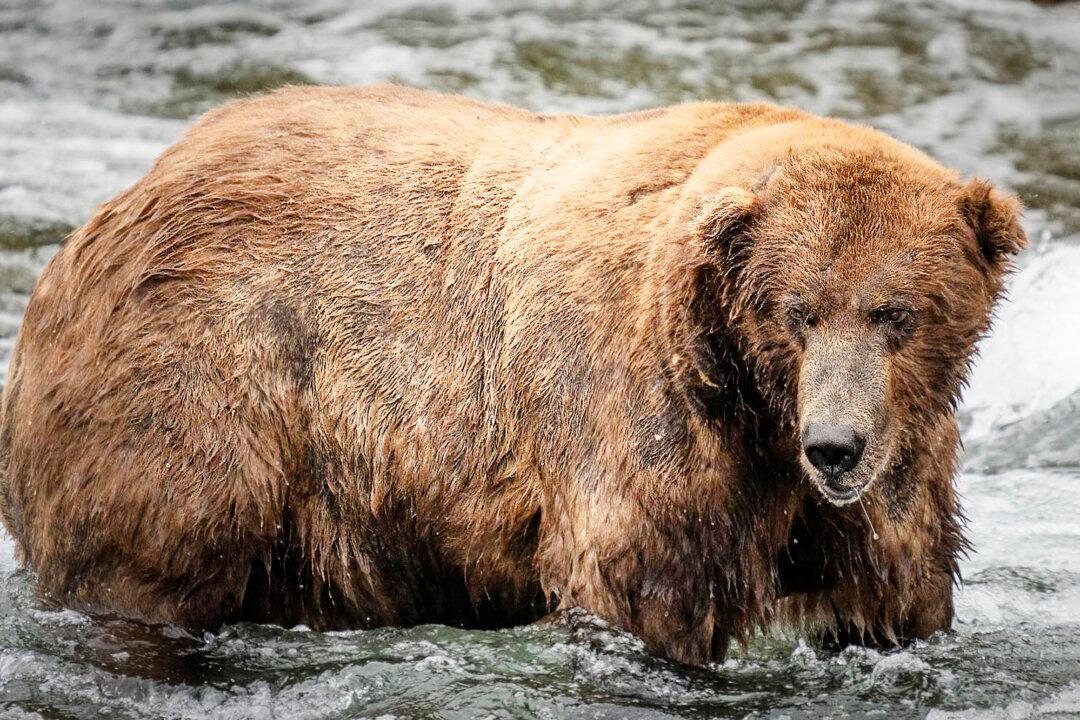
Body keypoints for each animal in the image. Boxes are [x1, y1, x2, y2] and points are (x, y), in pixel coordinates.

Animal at [0, 84, 1025, 665]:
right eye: (797, 311)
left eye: (896, 313)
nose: (836, 447)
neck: (753, 408)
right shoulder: (639, 418)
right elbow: (639, 586)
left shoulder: (894, 470)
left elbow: (896, 593)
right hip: (204, 379)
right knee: (155, 547)